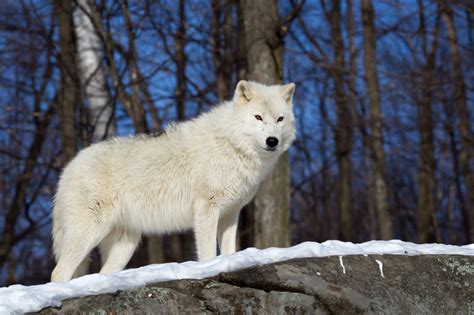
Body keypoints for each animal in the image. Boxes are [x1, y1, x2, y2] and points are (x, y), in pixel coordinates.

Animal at [51, 81, 296, 282]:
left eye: (280, 119)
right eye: (258, 117)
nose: (272, 141)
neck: (232, 144)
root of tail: (68, 168)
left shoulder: (231, 213)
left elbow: (229, 250)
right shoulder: (206, 208)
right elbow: (208, 252)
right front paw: (210, 269)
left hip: (125, 245)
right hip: (89, 233)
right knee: (58, 273)